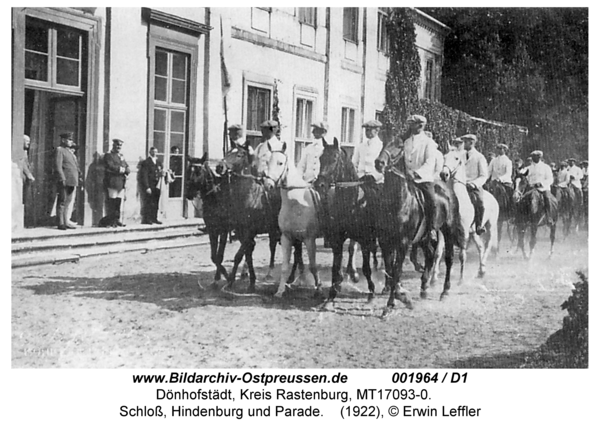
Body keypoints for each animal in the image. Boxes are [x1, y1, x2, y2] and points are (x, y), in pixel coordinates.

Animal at [219, 145, 302, 292]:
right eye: (228, 152)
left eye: (239, 155)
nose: (219, 167)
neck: (249, 195)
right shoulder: (242, 232)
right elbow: (247, 255)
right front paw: (250, 281)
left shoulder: (249, 232)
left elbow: (239, 256)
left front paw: (232, 281)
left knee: (297, 251)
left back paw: (291, 278)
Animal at [264, 151, 324, 298]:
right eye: (267, 161)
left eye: (280, 163)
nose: (267, 184)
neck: (295, 201)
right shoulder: (287, 237)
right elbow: (285, 266)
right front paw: (280, 291)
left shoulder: (309, 239)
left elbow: (313, 265)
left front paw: (319, 288)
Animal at [314, 141, 380, 304]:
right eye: (321, 158)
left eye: (334, 159)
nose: (320, 184)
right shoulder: (337, 239)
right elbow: (336, 267)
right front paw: (332, 294)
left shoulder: (365, 239)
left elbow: (366, 268)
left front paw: (371, 291)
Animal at [440, 150, 502, 280]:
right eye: (444, 156)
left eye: (456, 158)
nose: (444, 174)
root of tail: (493, 198)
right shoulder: (448, 231)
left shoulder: (463, 232)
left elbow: (462, 255)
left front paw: (461, 279)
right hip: (474, 232)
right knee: (481, 247)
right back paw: (481, 270)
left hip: (490, 226)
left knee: (488, 245)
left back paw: (482, 268)